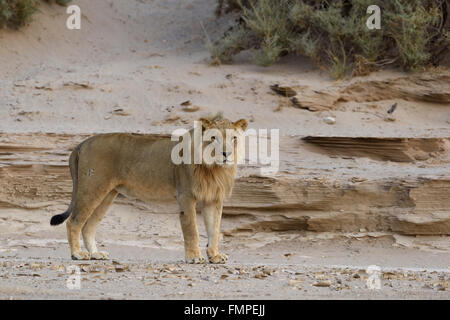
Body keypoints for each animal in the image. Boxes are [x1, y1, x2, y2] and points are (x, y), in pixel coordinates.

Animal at [50, 115, 248, 262]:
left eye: (234, 138)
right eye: (214, 138)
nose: (226, 153)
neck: (214, 168)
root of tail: (82, 144)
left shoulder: (213, 199)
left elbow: (214, 229)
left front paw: (215, 256)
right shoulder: (186, 195)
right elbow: (192, 229)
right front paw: (194, 257)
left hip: (107, 194)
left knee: (88, 226)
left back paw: (95, 254)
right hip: (92, 188)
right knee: (73, 222)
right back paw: (77, 254)